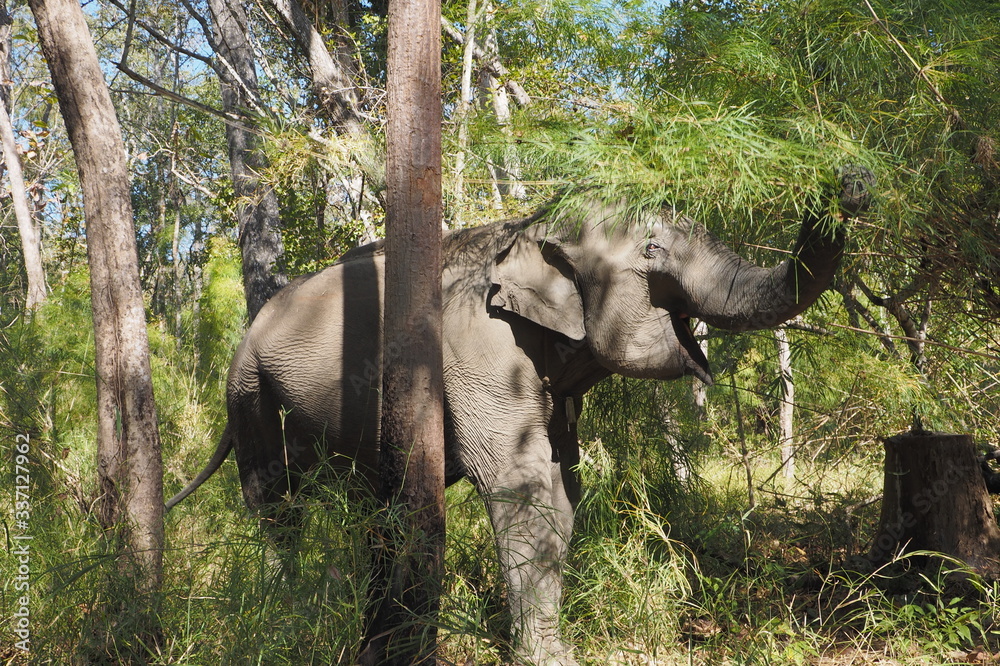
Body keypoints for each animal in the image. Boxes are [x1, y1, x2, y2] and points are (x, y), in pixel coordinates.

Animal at [168, 167, 872, 665]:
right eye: (651, 248)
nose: (852, 180)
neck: (532, 227)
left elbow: (562, 487)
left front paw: (556, 652)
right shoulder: (478, 345)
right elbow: (519, 484)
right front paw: (545, 658)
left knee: (373, 509)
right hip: (248, 389)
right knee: (276, 502)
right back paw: (294, 616)